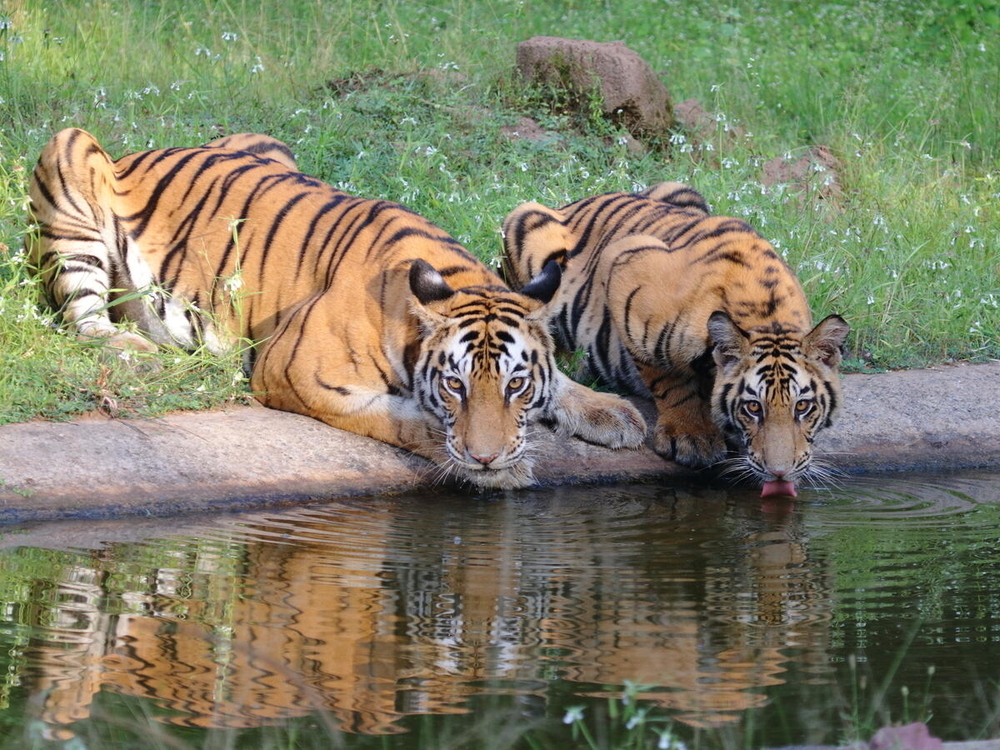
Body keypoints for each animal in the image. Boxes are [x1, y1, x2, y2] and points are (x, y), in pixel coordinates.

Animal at [27, 128, 647, 490]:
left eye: (516, 385)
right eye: (455, 386)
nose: (488, 459)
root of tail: (141, 151)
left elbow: (561, 382)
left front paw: (615, 413)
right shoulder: (297, 370)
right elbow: (401, 418)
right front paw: (502, 464)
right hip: (69, 151)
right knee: (85, 318)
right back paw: (135, 350)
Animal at [502, 182, 850, 498]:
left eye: (803, 406)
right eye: (753, 407)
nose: (781, 472)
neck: (768, 316)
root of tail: (578, 200)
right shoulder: (625, 264)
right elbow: (666, 375)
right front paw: (692, 436)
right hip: (526, 224)